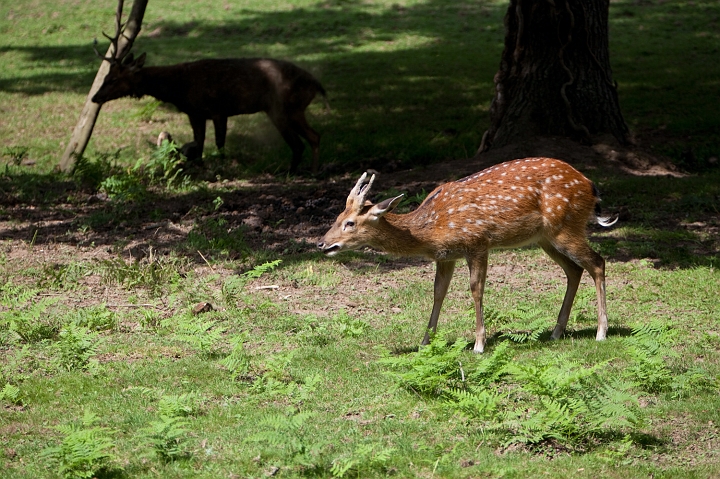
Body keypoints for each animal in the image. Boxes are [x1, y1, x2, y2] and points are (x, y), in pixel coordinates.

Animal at [90, 14, 327, 174]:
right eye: (106, 76)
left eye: (113, 79)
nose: (94, 97)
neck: (177, 90)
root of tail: (317, 85)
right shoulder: (197, 113)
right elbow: (200, 144)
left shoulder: (216, 110)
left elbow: (218, 143)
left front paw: (220, 168)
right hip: (293, 109)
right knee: (314, 136)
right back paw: (312, 171)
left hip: (282, 107)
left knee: (299, 143)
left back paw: (295, 171)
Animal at [318, 157, 617, 353]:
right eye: (337, 217)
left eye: (350, 223)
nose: (322, 244)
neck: (430, 230)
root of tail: (591, 186)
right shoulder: (446, 256)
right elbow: (438, 292)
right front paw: (425, 343)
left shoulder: (477, 243)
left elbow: (476, 289)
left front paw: (479, 344)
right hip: (546, 238)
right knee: (574, 270)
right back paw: (556, 332)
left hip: (566, 227)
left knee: (597, 262)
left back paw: (601, 332)